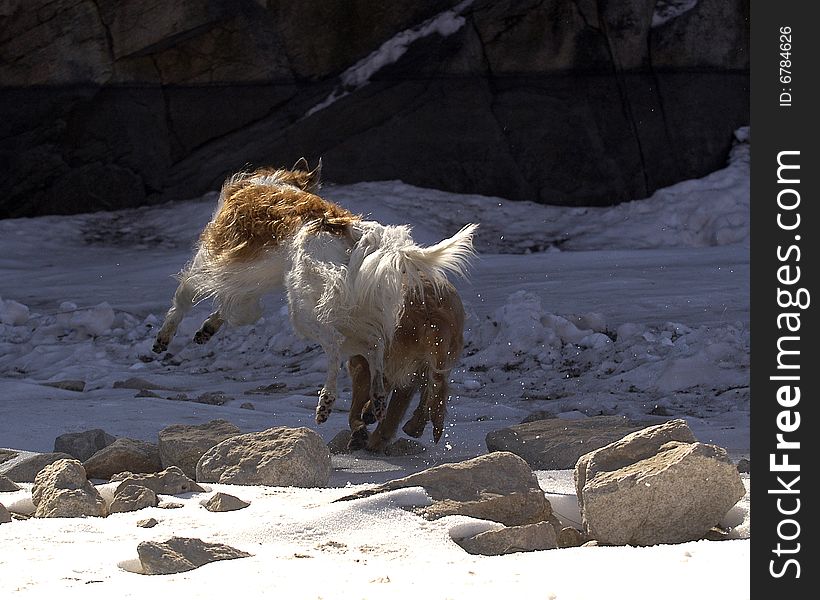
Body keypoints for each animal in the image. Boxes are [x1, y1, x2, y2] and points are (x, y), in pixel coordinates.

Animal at [342, 276, 464, 450]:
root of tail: (430, 308)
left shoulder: (362, 362)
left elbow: (357, 406)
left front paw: (360, 431)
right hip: (435, 361)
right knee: (434, 390)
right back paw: (412, 427)